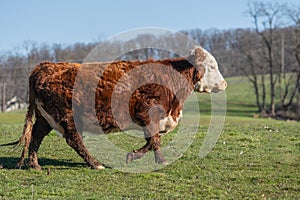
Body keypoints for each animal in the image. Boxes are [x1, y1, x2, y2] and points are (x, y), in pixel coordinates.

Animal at [2, 46, 227, 170]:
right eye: (213, 66)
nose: (225, 84)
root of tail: (45, 66)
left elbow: (151, 140)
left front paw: (133, 155)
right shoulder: (148, 113)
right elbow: (155, 140)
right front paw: (161, 161)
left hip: (45, 118)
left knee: (35, 136)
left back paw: (35, 165)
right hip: (67, 116)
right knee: (74, 140)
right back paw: (95, 163)